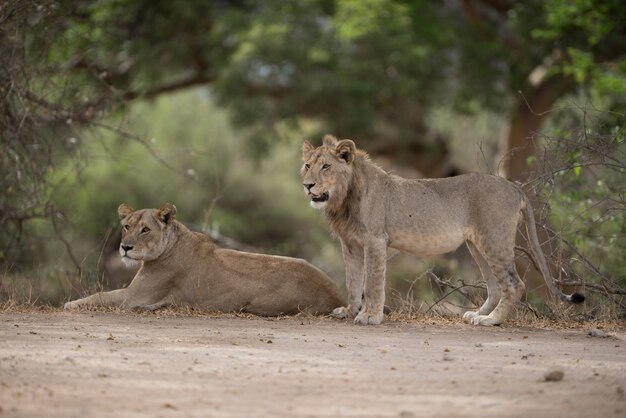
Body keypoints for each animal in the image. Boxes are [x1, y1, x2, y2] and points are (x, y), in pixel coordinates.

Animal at [65, 203, 344, 316]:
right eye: (126, 226)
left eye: (145, 229)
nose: (124, 247)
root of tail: (336, 295)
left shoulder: (135, 297)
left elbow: (100, 297)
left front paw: (70, 304)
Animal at [300, 136, 584, 324]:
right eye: (307, 165)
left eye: (326, 166)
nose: (307, 185)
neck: (343, 199)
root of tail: (515, 187)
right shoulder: (350, 244)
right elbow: (352, 281)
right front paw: (349, 311)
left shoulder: (375, 241)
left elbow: (372, 282)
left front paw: (370, 316)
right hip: (477, 244)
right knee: (495, 285)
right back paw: (478, 314)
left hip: (495, 240)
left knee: (515, 284)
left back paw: (491, 320)